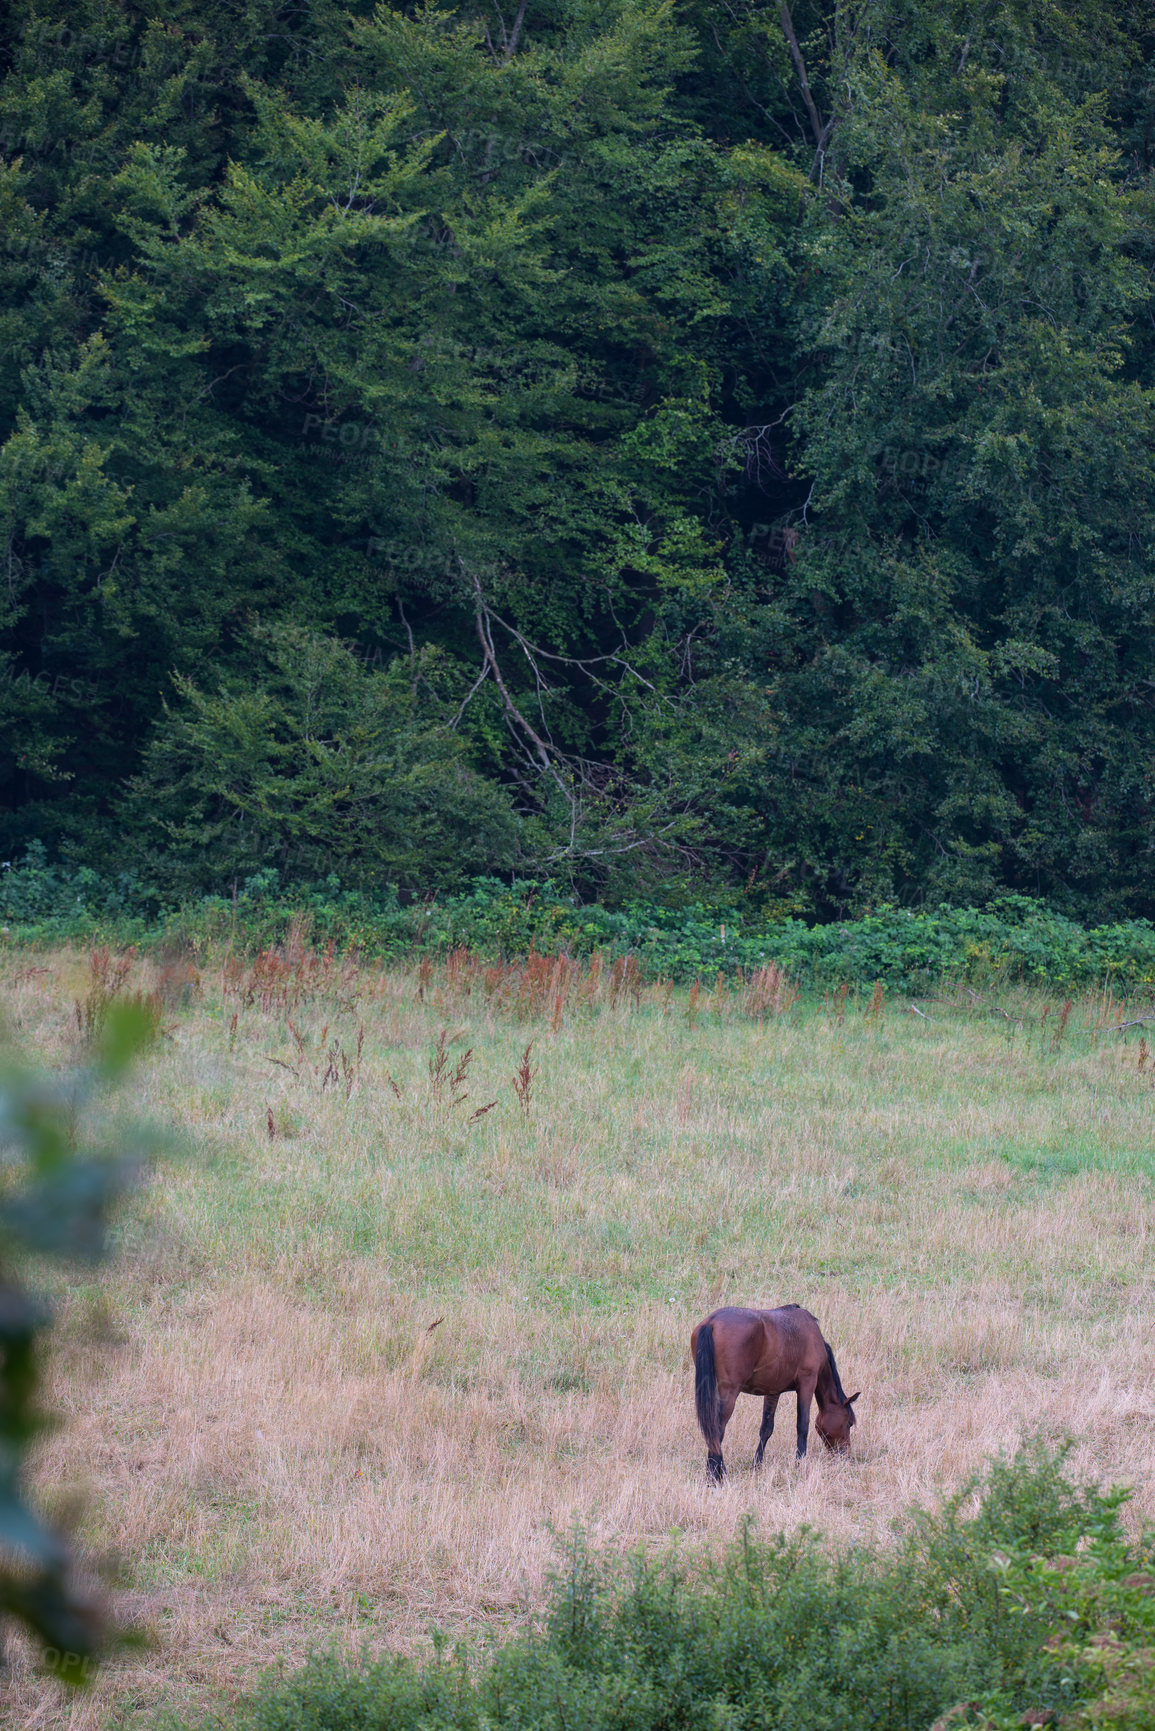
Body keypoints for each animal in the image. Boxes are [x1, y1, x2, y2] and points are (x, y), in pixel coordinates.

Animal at [685, 1301, 858, 1481]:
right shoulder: (807, 1383)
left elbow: (766, 1428)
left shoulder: (773, 1391)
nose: (845, 1455)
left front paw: (757, 1465)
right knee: (717, 1429)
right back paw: (715, 1475)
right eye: (849, 1423)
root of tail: (712, 1321)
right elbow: (802, 1425)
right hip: (729, 1392)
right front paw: (799, 1465)